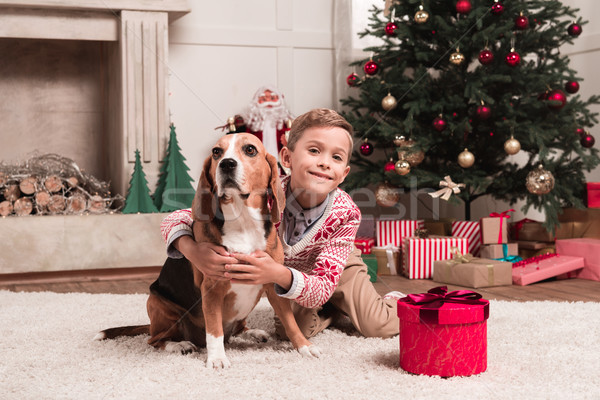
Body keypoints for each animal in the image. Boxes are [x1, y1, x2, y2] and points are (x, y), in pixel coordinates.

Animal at [95, 134, 318, 368]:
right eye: (216, 152)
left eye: (250, 149)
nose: (226, 164)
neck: (243, 221)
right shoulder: (212, 289)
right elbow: (214, 330)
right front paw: (217, 358)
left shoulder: (272, 282)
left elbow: (290, 321)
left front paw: (304, 347)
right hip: (158, 304)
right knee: (155, 339)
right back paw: (179, 345)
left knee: (238, 329)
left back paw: (252, 333)